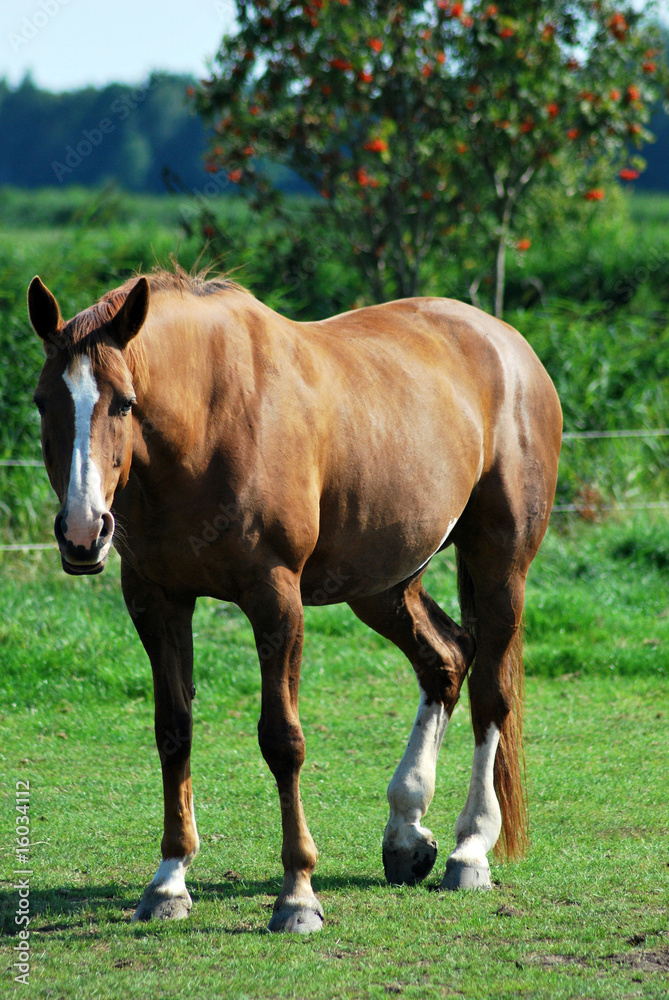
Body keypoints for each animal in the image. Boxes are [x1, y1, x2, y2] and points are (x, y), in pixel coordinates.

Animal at [26, 266, 560, 928]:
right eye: (43, 401)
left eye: (124, 401)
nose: (82, 530)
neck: (208, 424)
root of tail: (509, 346)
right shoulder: (156, 598)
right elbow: (173, 730)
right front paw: (169, 881)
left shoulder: (275, 597)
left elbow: (282, 739)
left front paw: (297, 894)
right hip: (382, 582)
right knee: (446, 659)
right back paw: (407, 832)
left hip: (499, 565)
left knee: (490, 695)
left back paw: (470, 849)